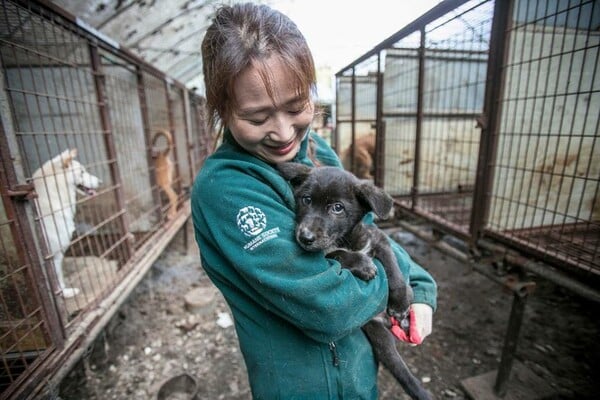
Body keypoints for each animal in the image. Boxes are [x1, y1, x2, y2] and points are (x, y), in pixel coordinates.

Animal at [276, 162, 432, 400]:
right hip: (378, 335)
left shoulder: (379, 240)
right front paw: (364, 265)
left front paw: (399, 303)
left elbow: (394, 271)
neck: (347, 239)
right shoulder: (329, 254)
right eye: (306, 199)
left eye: (337, 208)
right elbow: (339, 254)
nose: (305, 237)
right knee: (396, 364)